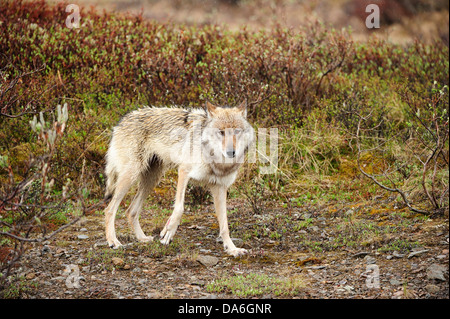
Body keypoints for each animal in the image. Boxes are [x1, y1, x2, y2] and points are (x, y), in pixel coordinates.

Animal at [103, 102, 255, 258]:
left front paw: (232, 249)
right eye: (221, 132)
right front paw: (168, 231)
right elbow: (179, 208)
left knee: (130, 211)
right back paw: (113, 241)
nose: (231, 152)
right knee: (110, 209)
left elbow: (224, 225)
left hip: (151, 180)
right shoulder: (183, 171)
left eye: (237, 131)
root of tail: (123, 120)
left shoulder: (220, 187)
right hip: (130, 176)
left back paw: (142, 238)